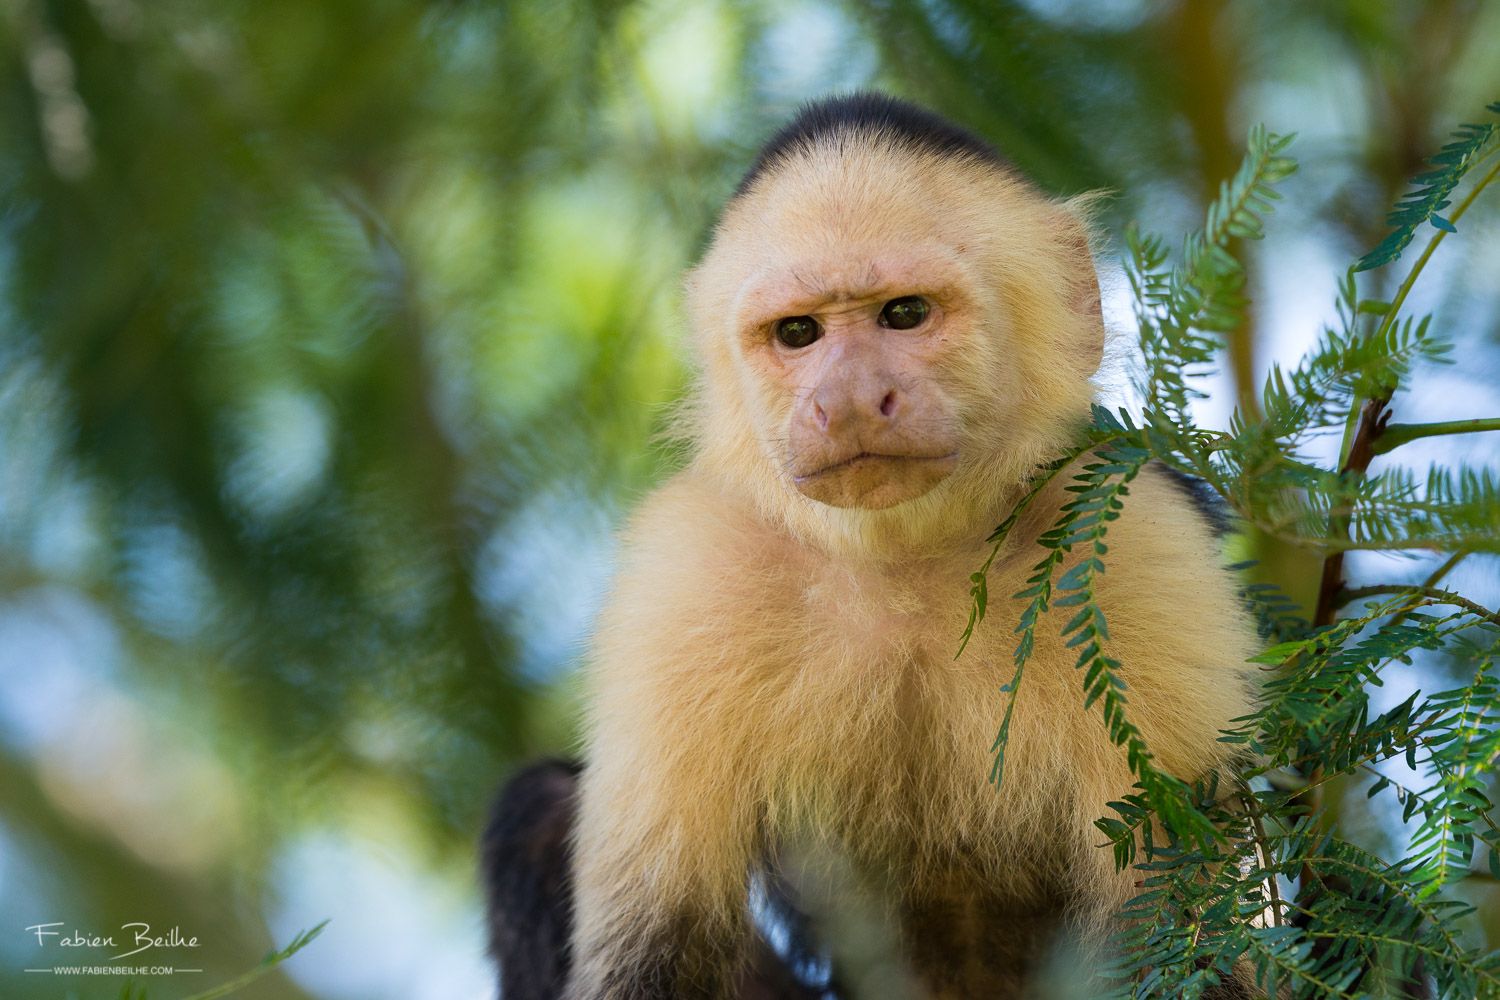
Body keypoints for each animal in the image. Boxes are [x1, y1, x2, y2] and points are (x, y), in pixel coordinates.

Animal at [483, 92, 1261, 999]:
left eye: (905, 313)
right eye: (798, 333)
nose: (850, 399)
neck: (903, 563)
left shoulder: (1135, 543)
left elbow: (1186, 940)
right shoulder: (686, 569)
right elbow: (652, 954)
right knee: (536, 811)